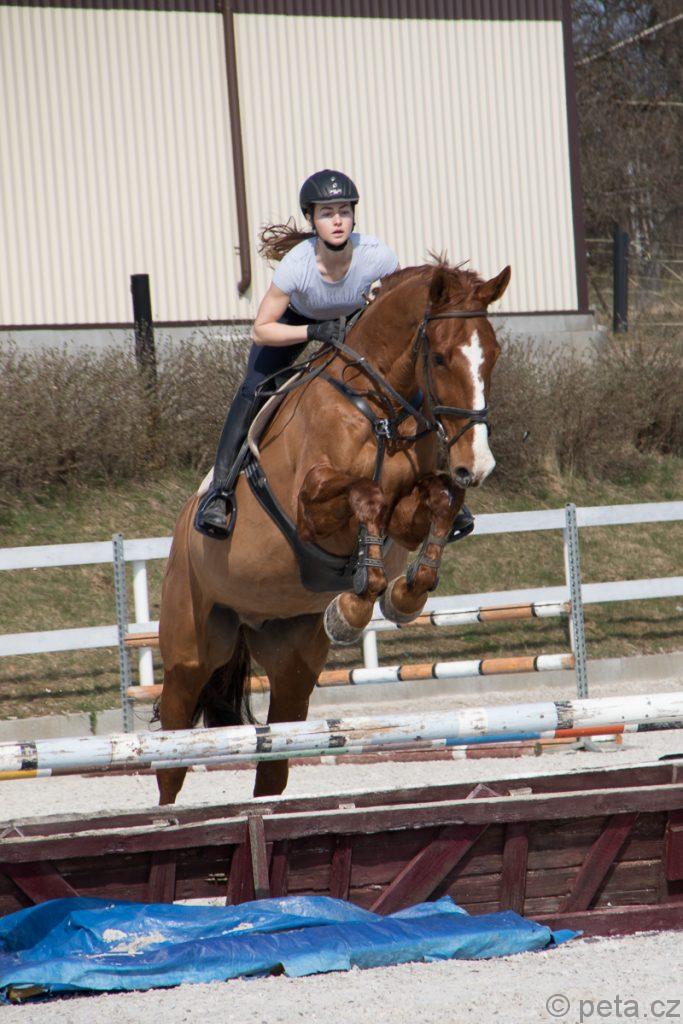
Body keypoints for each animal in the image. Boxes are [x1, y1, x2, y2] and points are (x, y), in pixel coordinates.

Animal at [157, 259, 511, 802]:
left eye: (492, 354)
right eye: (441, 357)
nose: (478, 466)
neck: (379, 409)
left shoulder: (409, 513)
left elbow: (439, 499)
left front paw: (404, 594)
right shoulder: (309, 510)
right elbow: (367, 495)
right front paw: (358, 602)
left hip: (291, 662)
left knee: (273, 764)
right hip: (190, 653)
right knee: (170, 760)